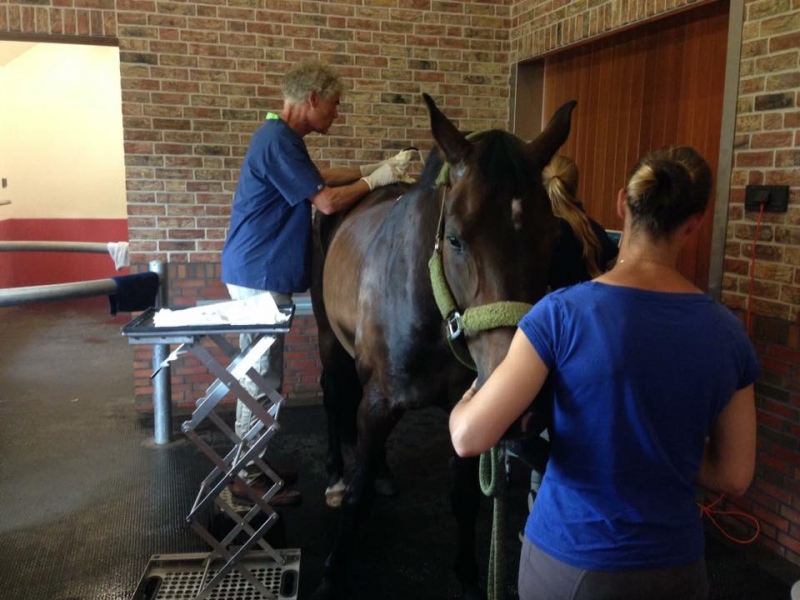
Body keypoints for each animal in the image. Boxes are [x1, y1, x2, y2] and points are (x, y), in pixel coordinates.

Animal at [309, 94, 576, 599]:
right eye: (454, 237)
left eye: (553, 239)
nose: (520, 406)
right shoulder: (377, 401)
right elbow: (355, 500)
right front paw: (331, 574)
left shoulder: (464, 408)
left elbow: (466, 499)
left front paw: (469, 575)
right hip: (328, 339)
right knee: (332, 398)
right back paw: (332, 472)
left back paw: (383, 472)